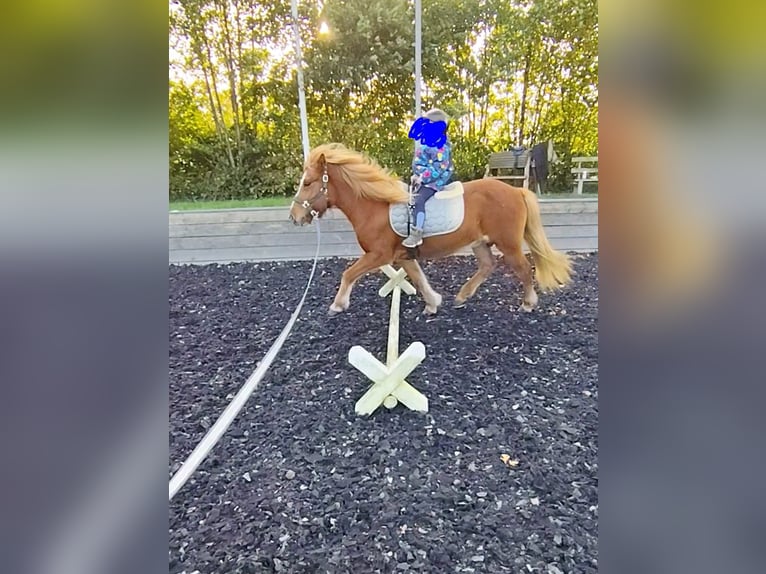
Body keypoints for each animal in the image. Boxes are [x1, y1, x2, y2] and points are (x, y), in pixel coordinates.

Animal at [288, 143, 572, 316]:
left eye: (308, 182)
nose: (294, 217)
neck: (375, 206)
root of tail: (516, 191)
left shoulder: (379, 255)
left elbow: (348, 274)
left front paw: (338, 305)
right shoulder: (403, 257)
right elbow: (418, 278)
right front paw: (433, 303)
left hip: (509, 244)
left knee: (524, 268)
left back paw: (528, 303)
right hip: (480, 242)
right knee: (487, 265)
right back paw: (462, 297)